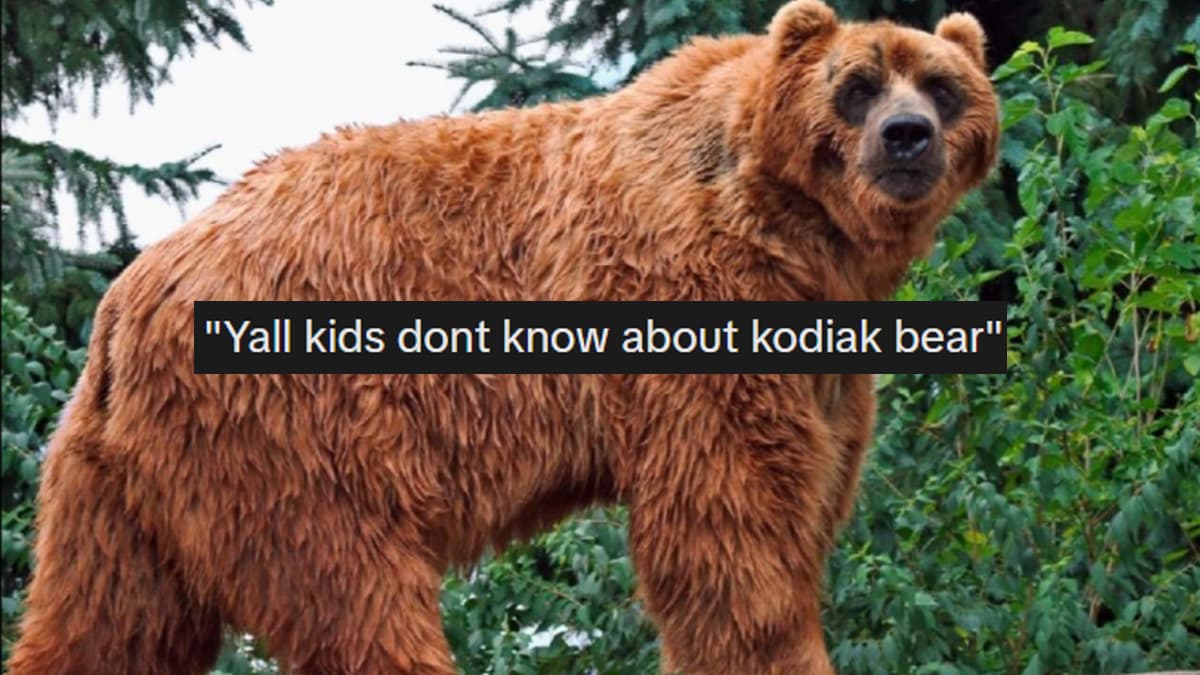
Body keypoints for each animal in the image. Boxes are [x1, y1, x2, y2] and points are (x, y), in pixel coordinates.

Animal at [8, 1, 998, 673]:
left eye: (943, 85)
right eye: (856, 85)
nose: (906, 136)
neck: (793, 235)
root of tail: (129, 298)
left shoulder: (820, 362)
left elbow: (810, 495)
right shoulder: (689, 297)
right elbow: (729, 526)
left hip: (119, 481)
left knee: (107, 618)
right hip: (294, 427)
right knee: (352, 595)